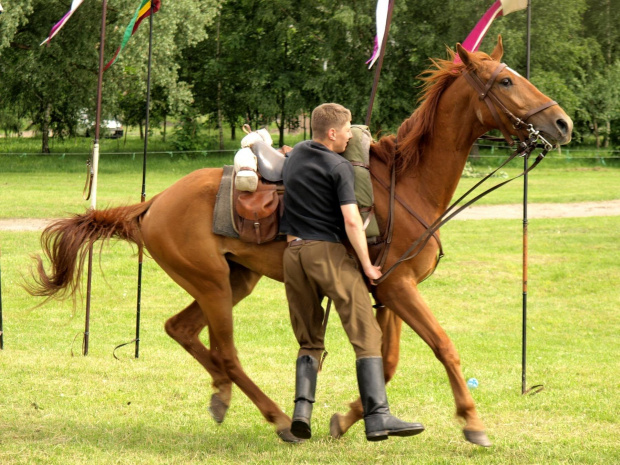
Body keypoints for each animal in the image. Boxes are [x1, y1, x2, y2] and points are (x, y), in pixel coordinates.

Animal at [27, 40, 572, 446]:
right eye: (506, 81)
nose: (563, 123)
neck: (408, 183)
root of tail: (154, 202)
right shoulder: (398, 288)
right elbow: (443, 347)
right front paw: (472, 422)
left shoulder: (390, 291)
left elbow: (389, 360)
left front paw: (350, 419)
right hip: (214, 285)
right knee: (225, 350)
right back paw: (276, 417)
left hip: (234, 280)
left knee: (180, 329)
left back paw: (224, 396)